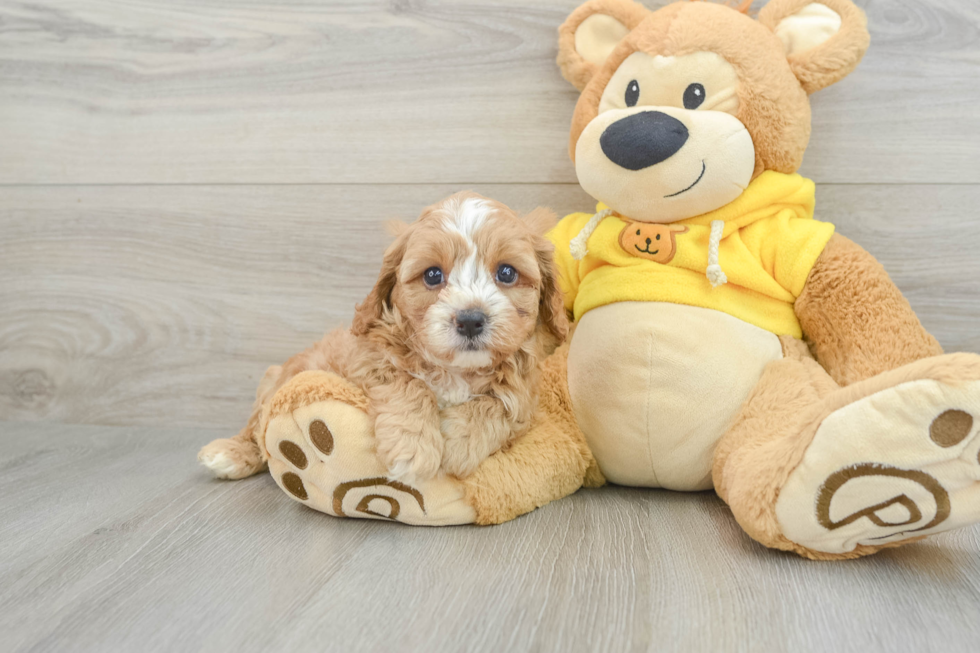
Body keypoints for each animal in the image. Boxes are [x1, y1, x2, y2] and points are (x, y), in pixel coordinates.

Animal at [199, 191, 568, 482]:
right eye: (432, 275)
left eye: (506, 272)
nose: (470, 320)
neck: (455, 370)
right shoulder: (368, 359)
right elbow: (407, 383)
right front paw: (413, 448)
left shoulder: (525, 391)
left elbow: (501, 404)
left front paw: (460, 442)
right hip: (276, 381)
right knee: (257, 428)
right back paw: (230, 454)